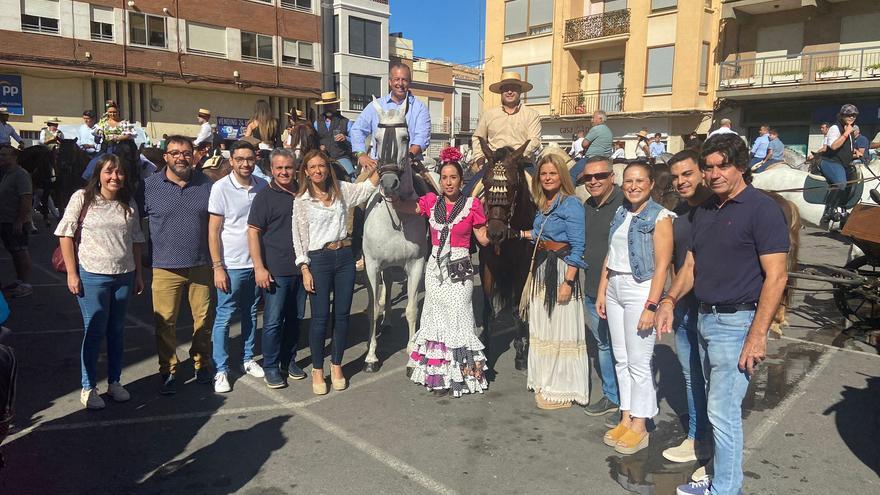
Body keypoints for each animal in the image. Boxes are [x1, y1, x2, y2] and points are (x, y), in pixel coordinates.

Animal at [474, 138, 536, 370]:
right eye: (485, 181)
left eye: (513, 185)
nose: (494, 233)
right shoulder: (487, 265)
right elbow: (487, 309)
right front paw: (485, 351)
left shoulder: (521, 267)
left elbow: (517, 308)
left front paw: (520, 353)